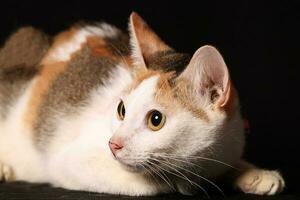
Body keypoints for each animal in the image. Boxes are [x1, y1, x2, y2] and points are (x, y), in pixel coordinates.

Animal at [0, 12, 284, 195]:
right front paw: (183, 183)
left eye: (156, 119)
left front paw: (253, 173)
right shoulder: (69, 161)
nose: (113, 144)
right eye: (122, 110)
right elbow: (153, 184)